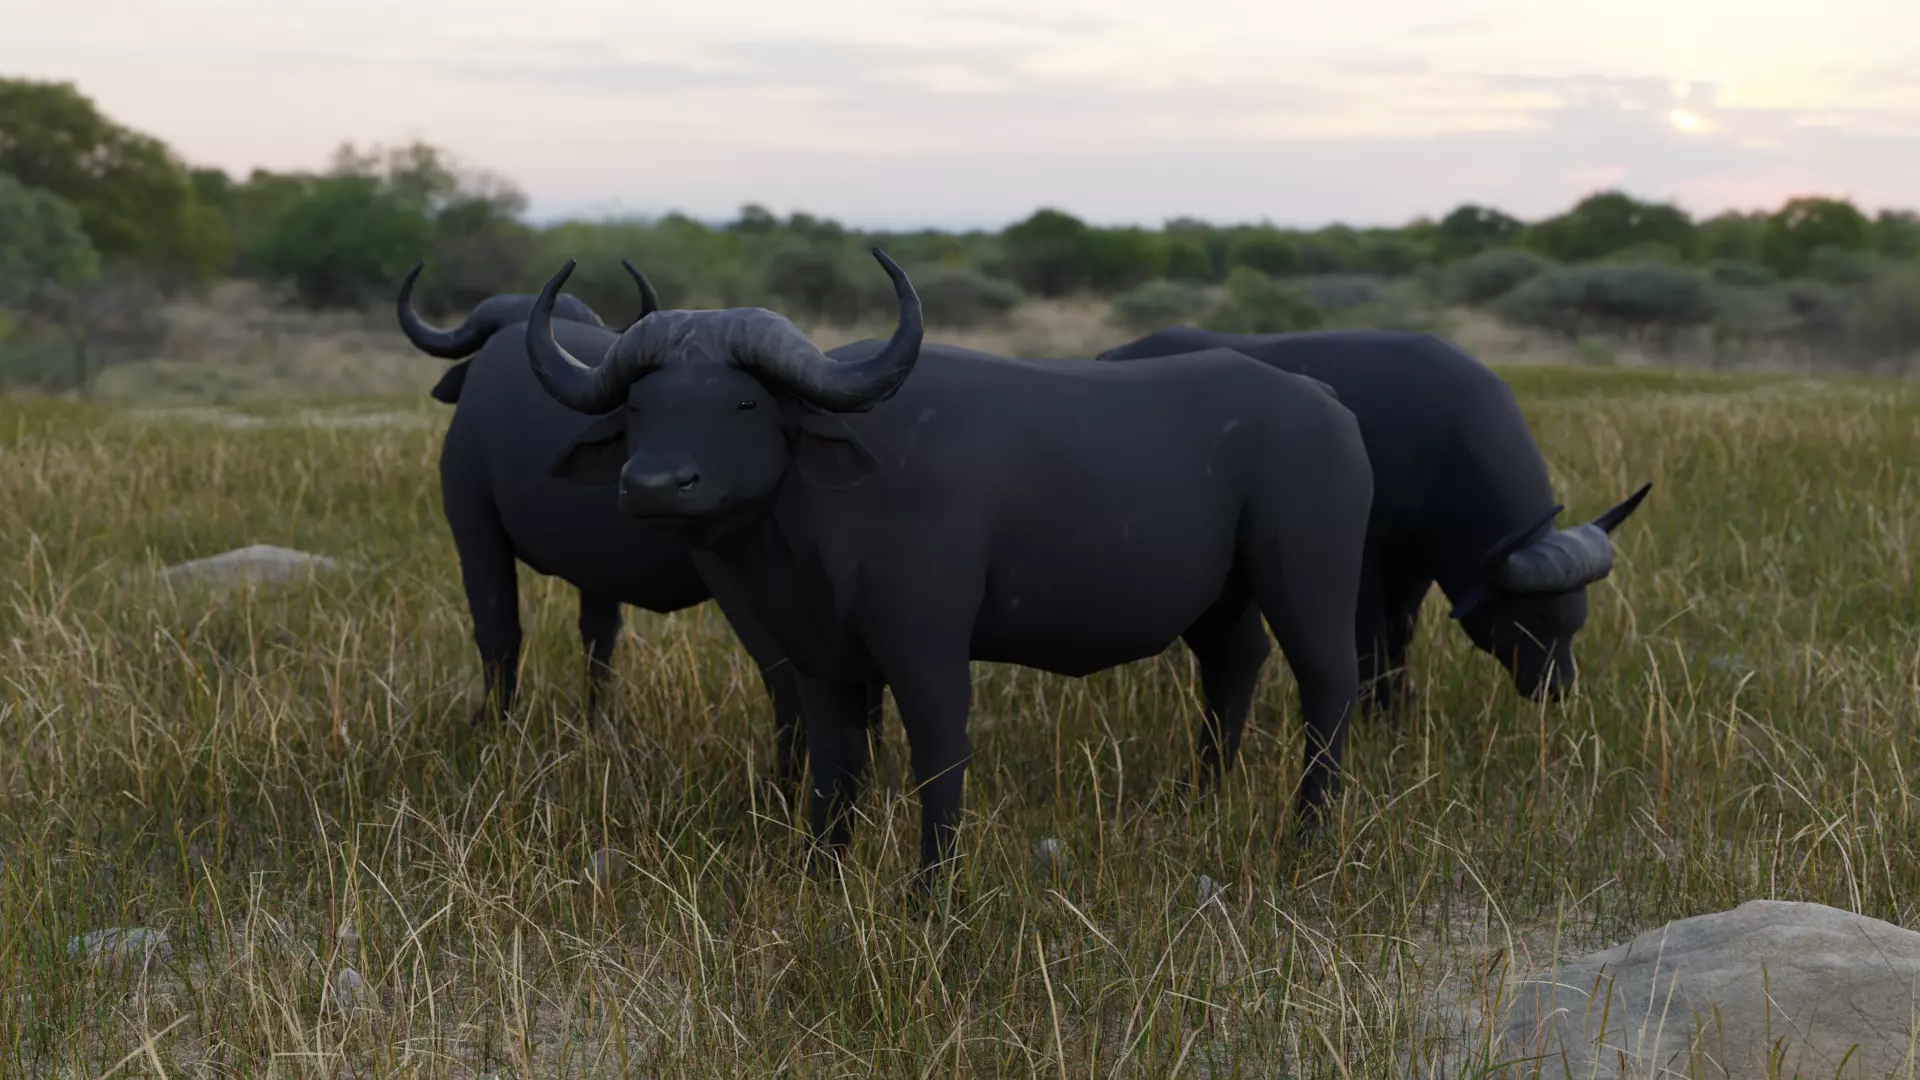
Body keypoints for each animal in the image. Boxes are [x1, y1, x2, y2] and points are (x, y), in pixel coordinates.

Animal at [396, 262, 855, 794]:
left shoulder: (474, 526)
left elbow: (498, 632)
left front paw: (488, 726)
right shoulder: (597, 569)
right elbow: (599, 640)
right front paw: (594, 724)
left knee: (786, 680)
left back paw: (779, 786)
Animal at [520, 249, 1376, 889]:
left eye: (743, 403)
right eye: (640, 406)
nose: (653, 484)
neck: (814, 526)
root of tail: (1323, 401)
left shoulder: (927, 647)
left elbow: (937, 755)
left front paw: (930, 893)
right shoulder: (822, 658)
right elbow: (836, 764)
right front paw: (818, 872)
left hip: (1310, 578)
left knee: (1328, 685)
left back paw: (1307, 834)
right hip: (1222, 600)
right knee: (1234, 667)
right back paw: (1202, 803)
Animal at [1097, 326, 1651, 711]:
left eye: (1574, 621)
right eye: (1529, 618)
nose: (1557, 688)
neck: (1441, 442)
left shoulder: (1414, 567)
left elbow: (1398, 634)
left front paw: (1400, 707)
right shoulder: (1363, 559)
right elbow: (1367, 642)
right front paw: (1375, 709)